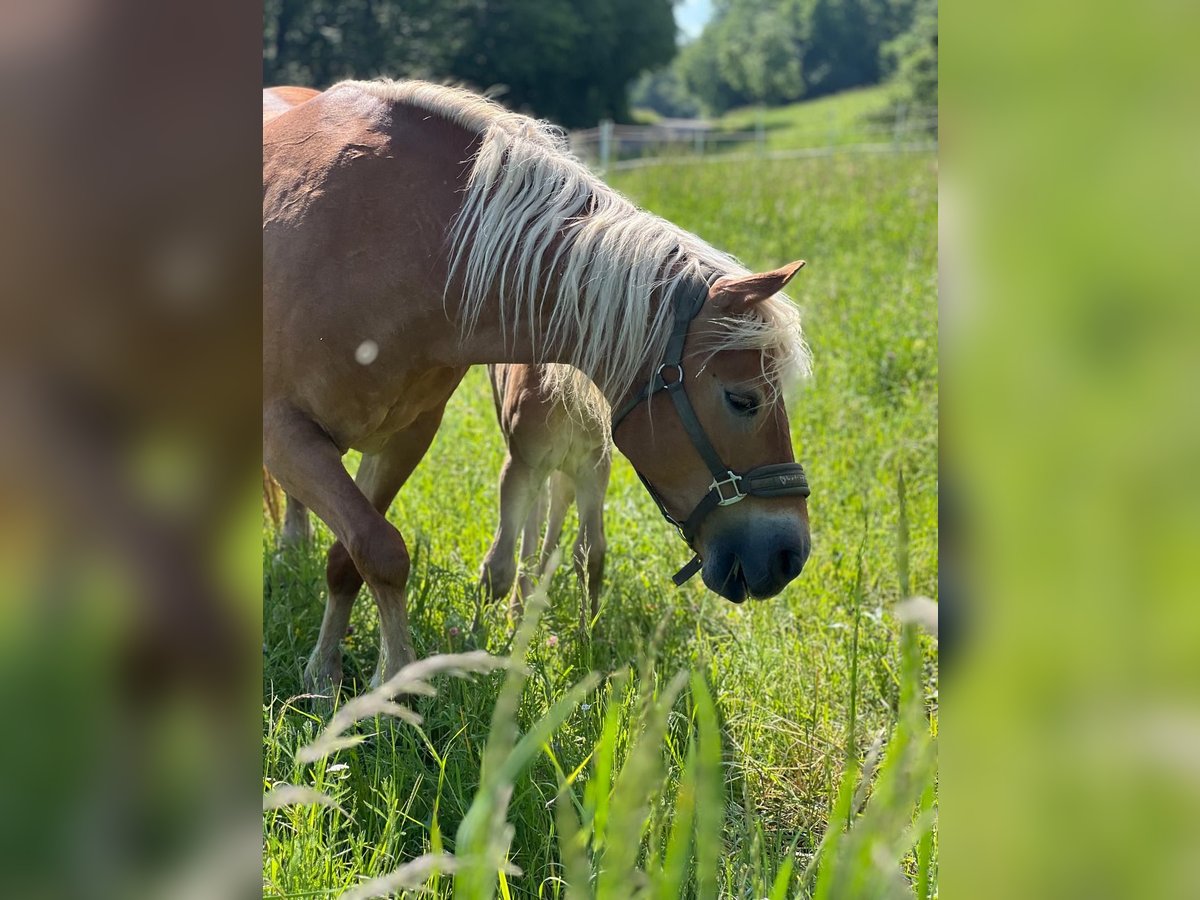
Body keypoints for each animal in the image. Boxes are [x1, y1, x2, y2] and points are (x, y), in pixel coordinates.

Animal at [477, 362, 609, 619]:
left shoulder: (594, 465)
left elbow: (590, 555)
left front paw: (590, 627)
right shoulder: (521, 464)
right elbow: (497, 567)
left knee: (558, 500)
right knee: (539, 507)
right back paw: (521, 602)